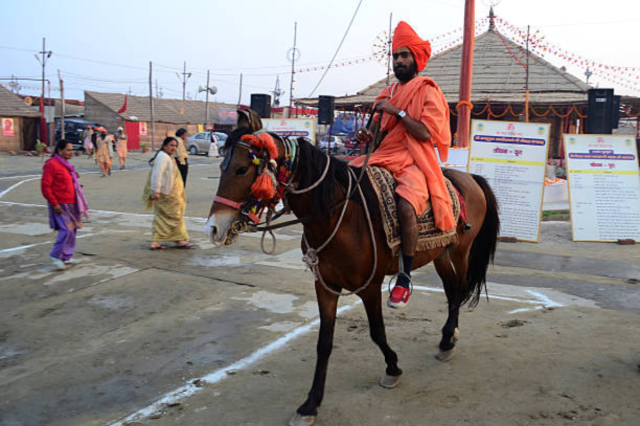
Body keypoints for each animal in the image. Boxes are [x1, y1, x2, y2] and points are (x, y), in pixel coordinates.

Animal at [206, 131, 500, 426]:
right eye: (221, 167)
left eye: (242, 169)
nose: (214, 228)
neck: (339, 215)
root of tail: (469, 177)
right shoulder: (326, 286)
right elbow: (324, 343)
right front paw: (311, 404)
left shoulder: (369, 286)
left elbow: (377, 332)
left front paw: (392, 368)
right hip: (440, 253)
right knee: (452, 290)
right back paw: (448, 337)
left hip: (460, 251)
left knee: (459, 289)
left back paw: (448, 339)